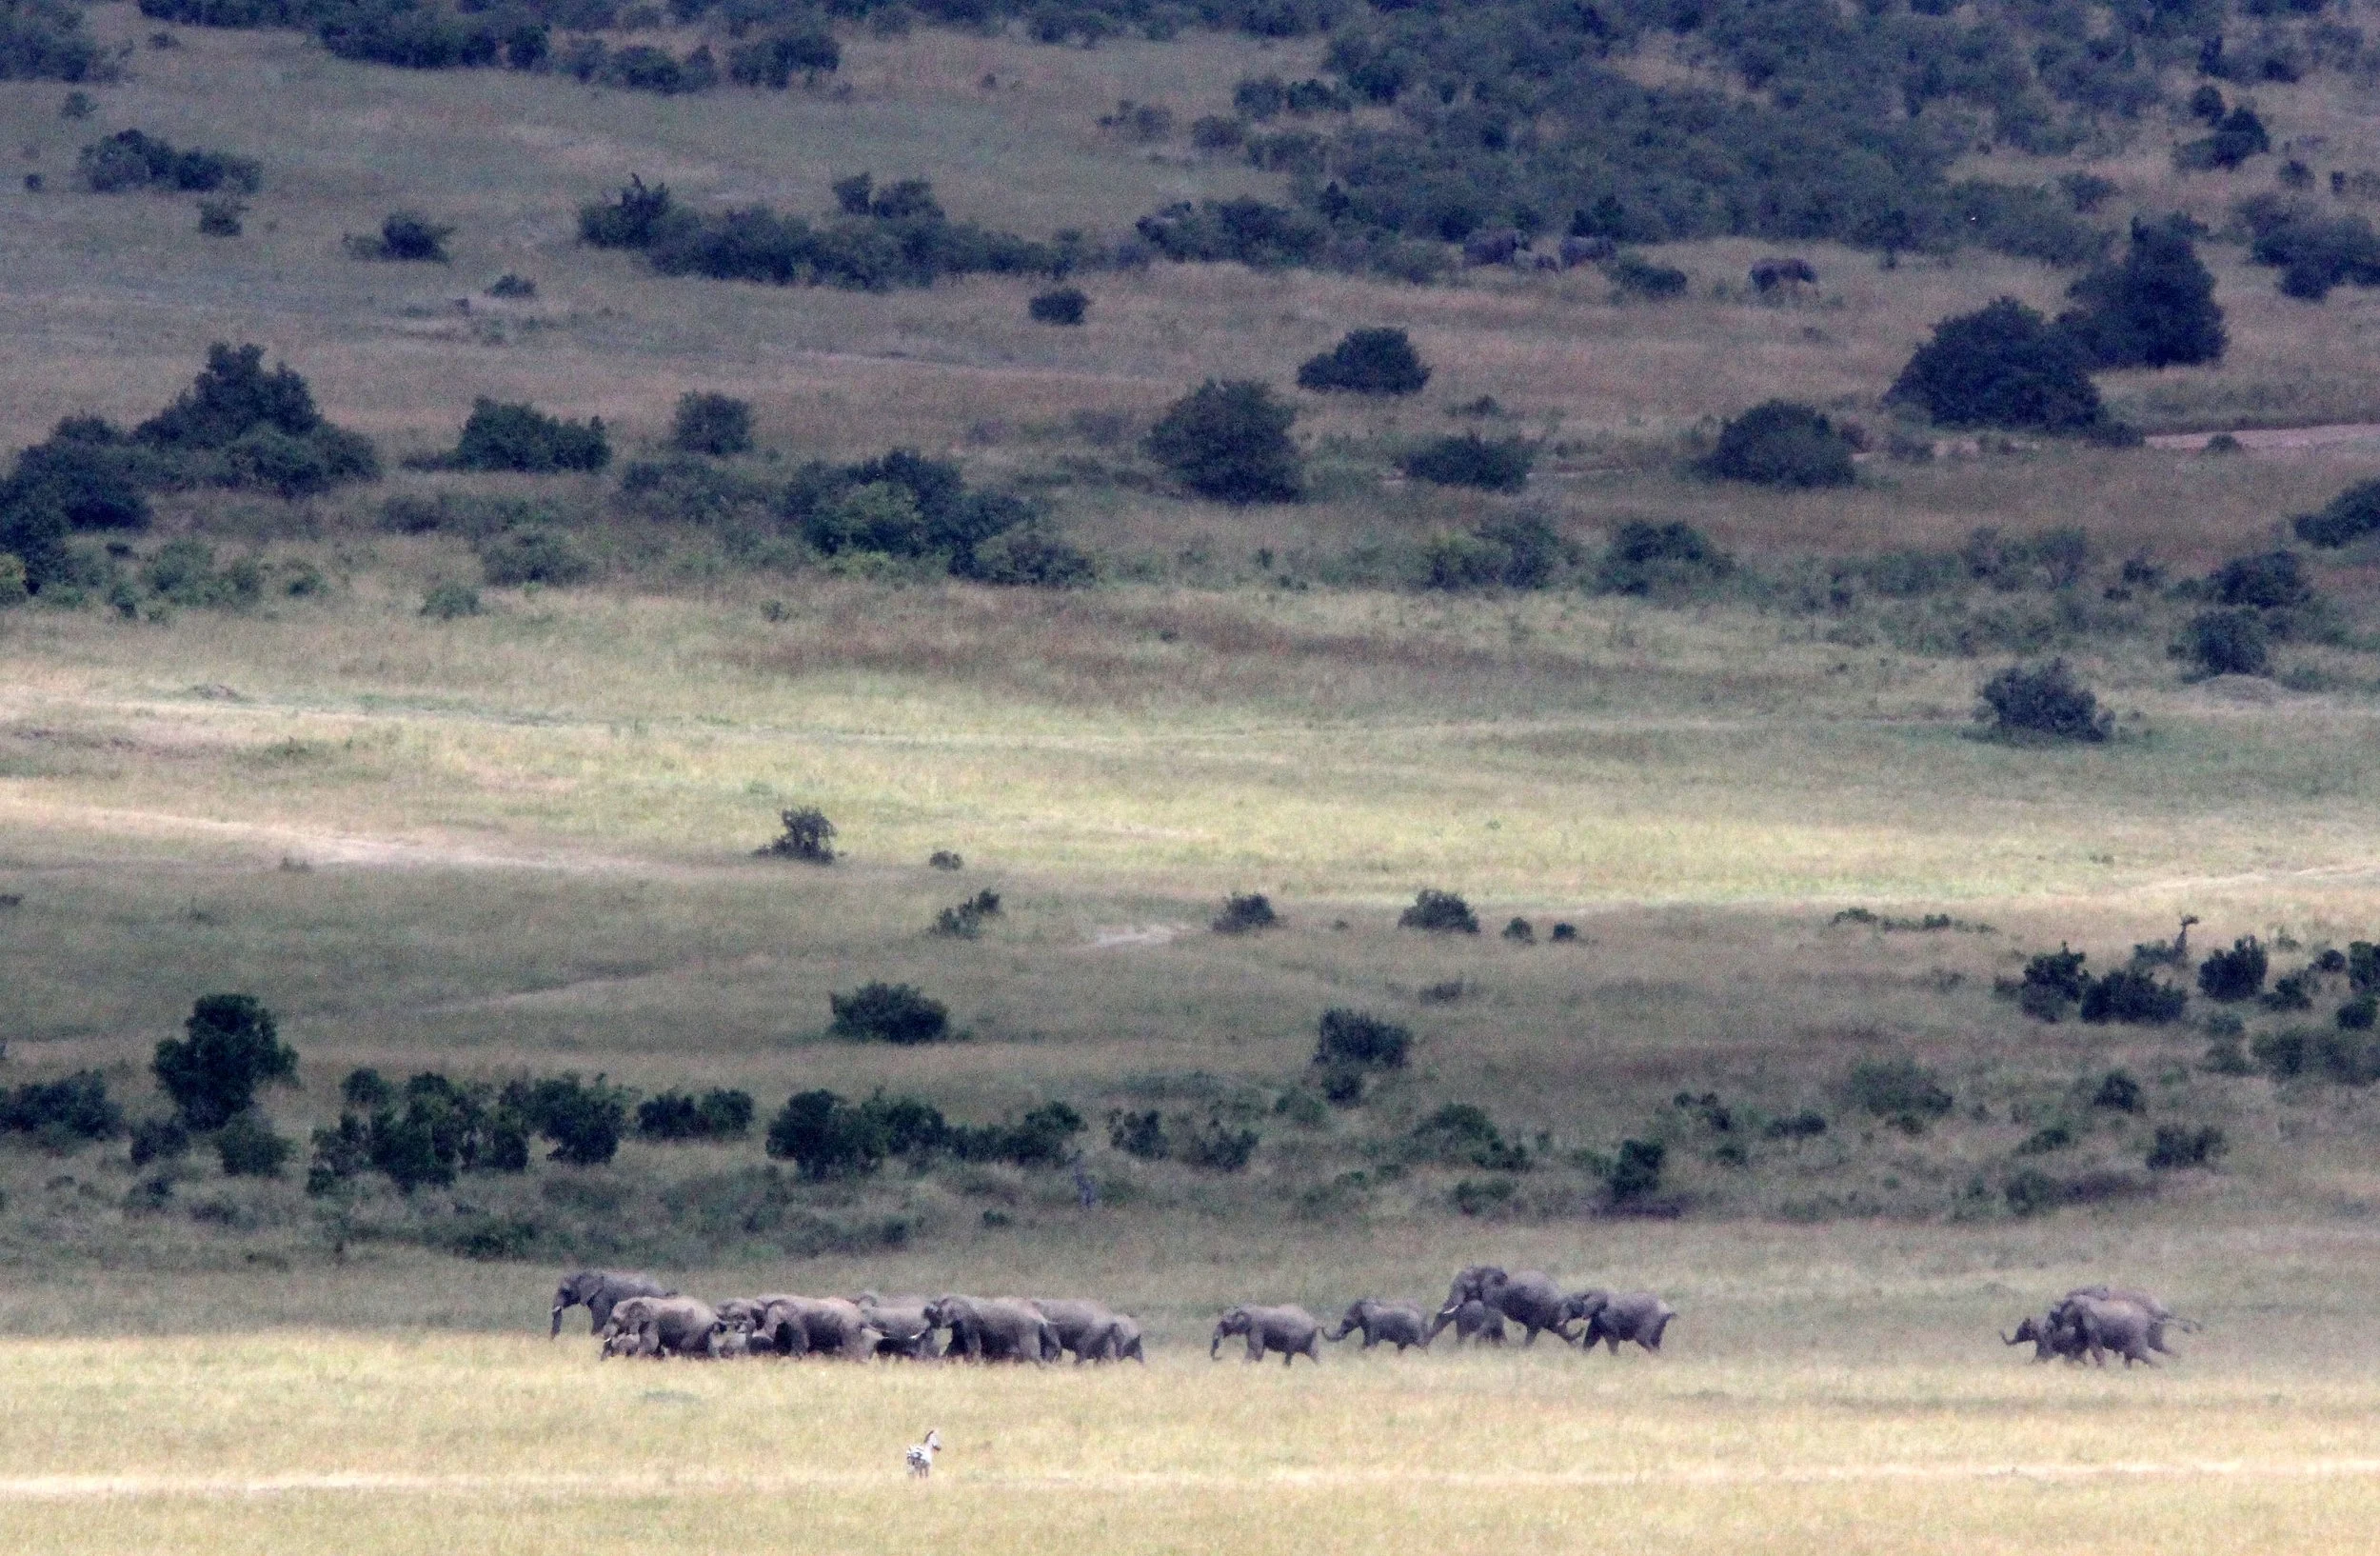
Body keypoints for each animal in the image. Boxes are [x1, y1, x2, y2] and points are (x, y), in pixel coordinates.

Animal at [598, 1296, 723, 1359]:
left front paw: (634, 1360)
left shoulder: (652, 1322)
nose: (602, 1361)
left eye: (616, 1319)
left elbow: (651, 1343)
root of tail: (713, 1316)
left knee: (685, 1346)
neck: (635, 1300)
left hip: (697, 1329)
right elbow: (655, 1345)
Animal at [927, 1295, 1059, 1363]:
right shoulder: (959, 1329)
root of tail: (1041, 1318)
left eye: (937, 1313)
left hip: (1027, 1330)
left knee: (1032, 1354)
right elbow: (953, 1347)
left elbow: (973, 1347)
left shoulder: (969, 1324)